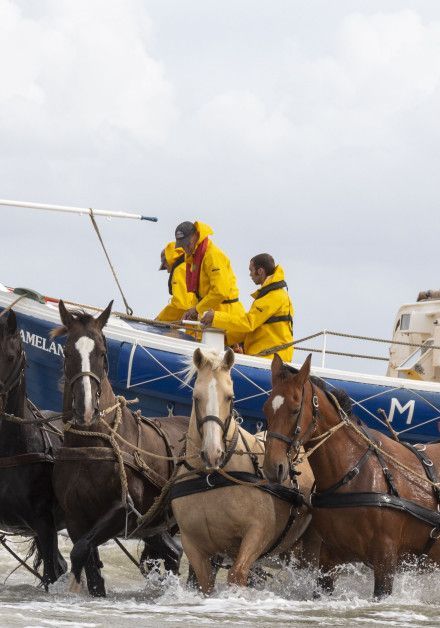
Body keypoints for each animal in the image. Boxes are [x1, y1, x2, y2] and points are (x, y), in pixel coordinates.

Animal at [51, 302, 189, 596]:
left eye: (103, 353)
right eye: (67, 352)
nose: (86, 409)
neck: (93, 443)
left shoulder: (124, 512)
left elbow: (80, 552)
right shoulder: (76, 518)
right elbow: (89, 564)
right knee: (173, 552)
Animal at [170, 346, 318, 596]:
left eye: (229, 396)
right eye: (196, 397)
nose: (213, 453)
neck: (211, 478)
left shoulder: (257, 533)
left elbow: (237, 574)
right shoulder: (192, 544)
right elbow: (205, 582)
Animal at [262, 354, 440, 600]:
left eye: (295, 409)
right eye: (267, 407)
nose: (273, 467)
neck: (353, 472)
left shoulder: (386, 561)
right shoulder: (328, 558)